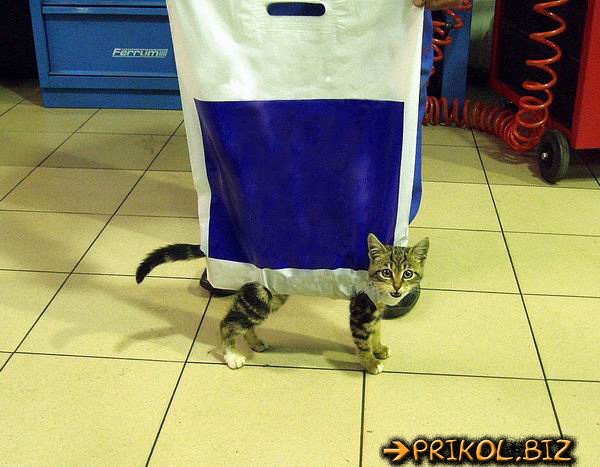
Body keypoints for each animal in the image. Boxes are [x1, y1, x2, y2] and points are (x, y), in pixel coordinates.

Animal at [136, 234, 429, 375]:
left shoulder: (376, 309)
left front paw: (379, 348)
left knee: (242, 320)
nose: (397, 289)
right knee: (227, 323)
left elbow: (376, 330)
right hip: (262, 297)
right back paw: (232, 356)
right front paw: (370, 363)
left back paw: (255, 342)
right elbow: (362, 340)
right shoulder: (361, 310)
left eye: (408, 274)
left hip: (267, 296)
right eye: (387, 272)